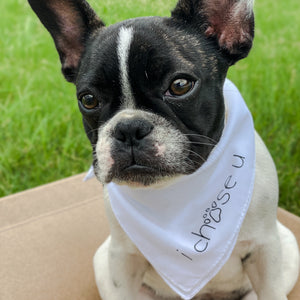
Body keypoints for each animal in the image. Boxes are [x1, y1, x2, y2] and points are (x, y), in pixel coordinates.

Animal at [27, 0, 298, 300]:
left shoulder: (265, 249)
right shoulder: (122, 258)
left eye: (180, 86)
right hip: (102, 259)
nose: (129, 127)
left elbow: (271, 290)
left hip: (288, 247)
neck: (176, 190)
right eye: (88, 100)